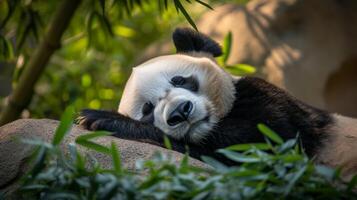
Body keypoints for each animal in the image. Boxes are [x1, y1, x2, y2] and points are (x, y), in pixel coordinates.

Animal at [78, 28, 356, 175]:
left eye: (179, 80)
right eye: (147, 108)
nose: (181, 111)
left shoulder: (275, 104)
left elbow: (263, 144)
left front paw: (101, 118)